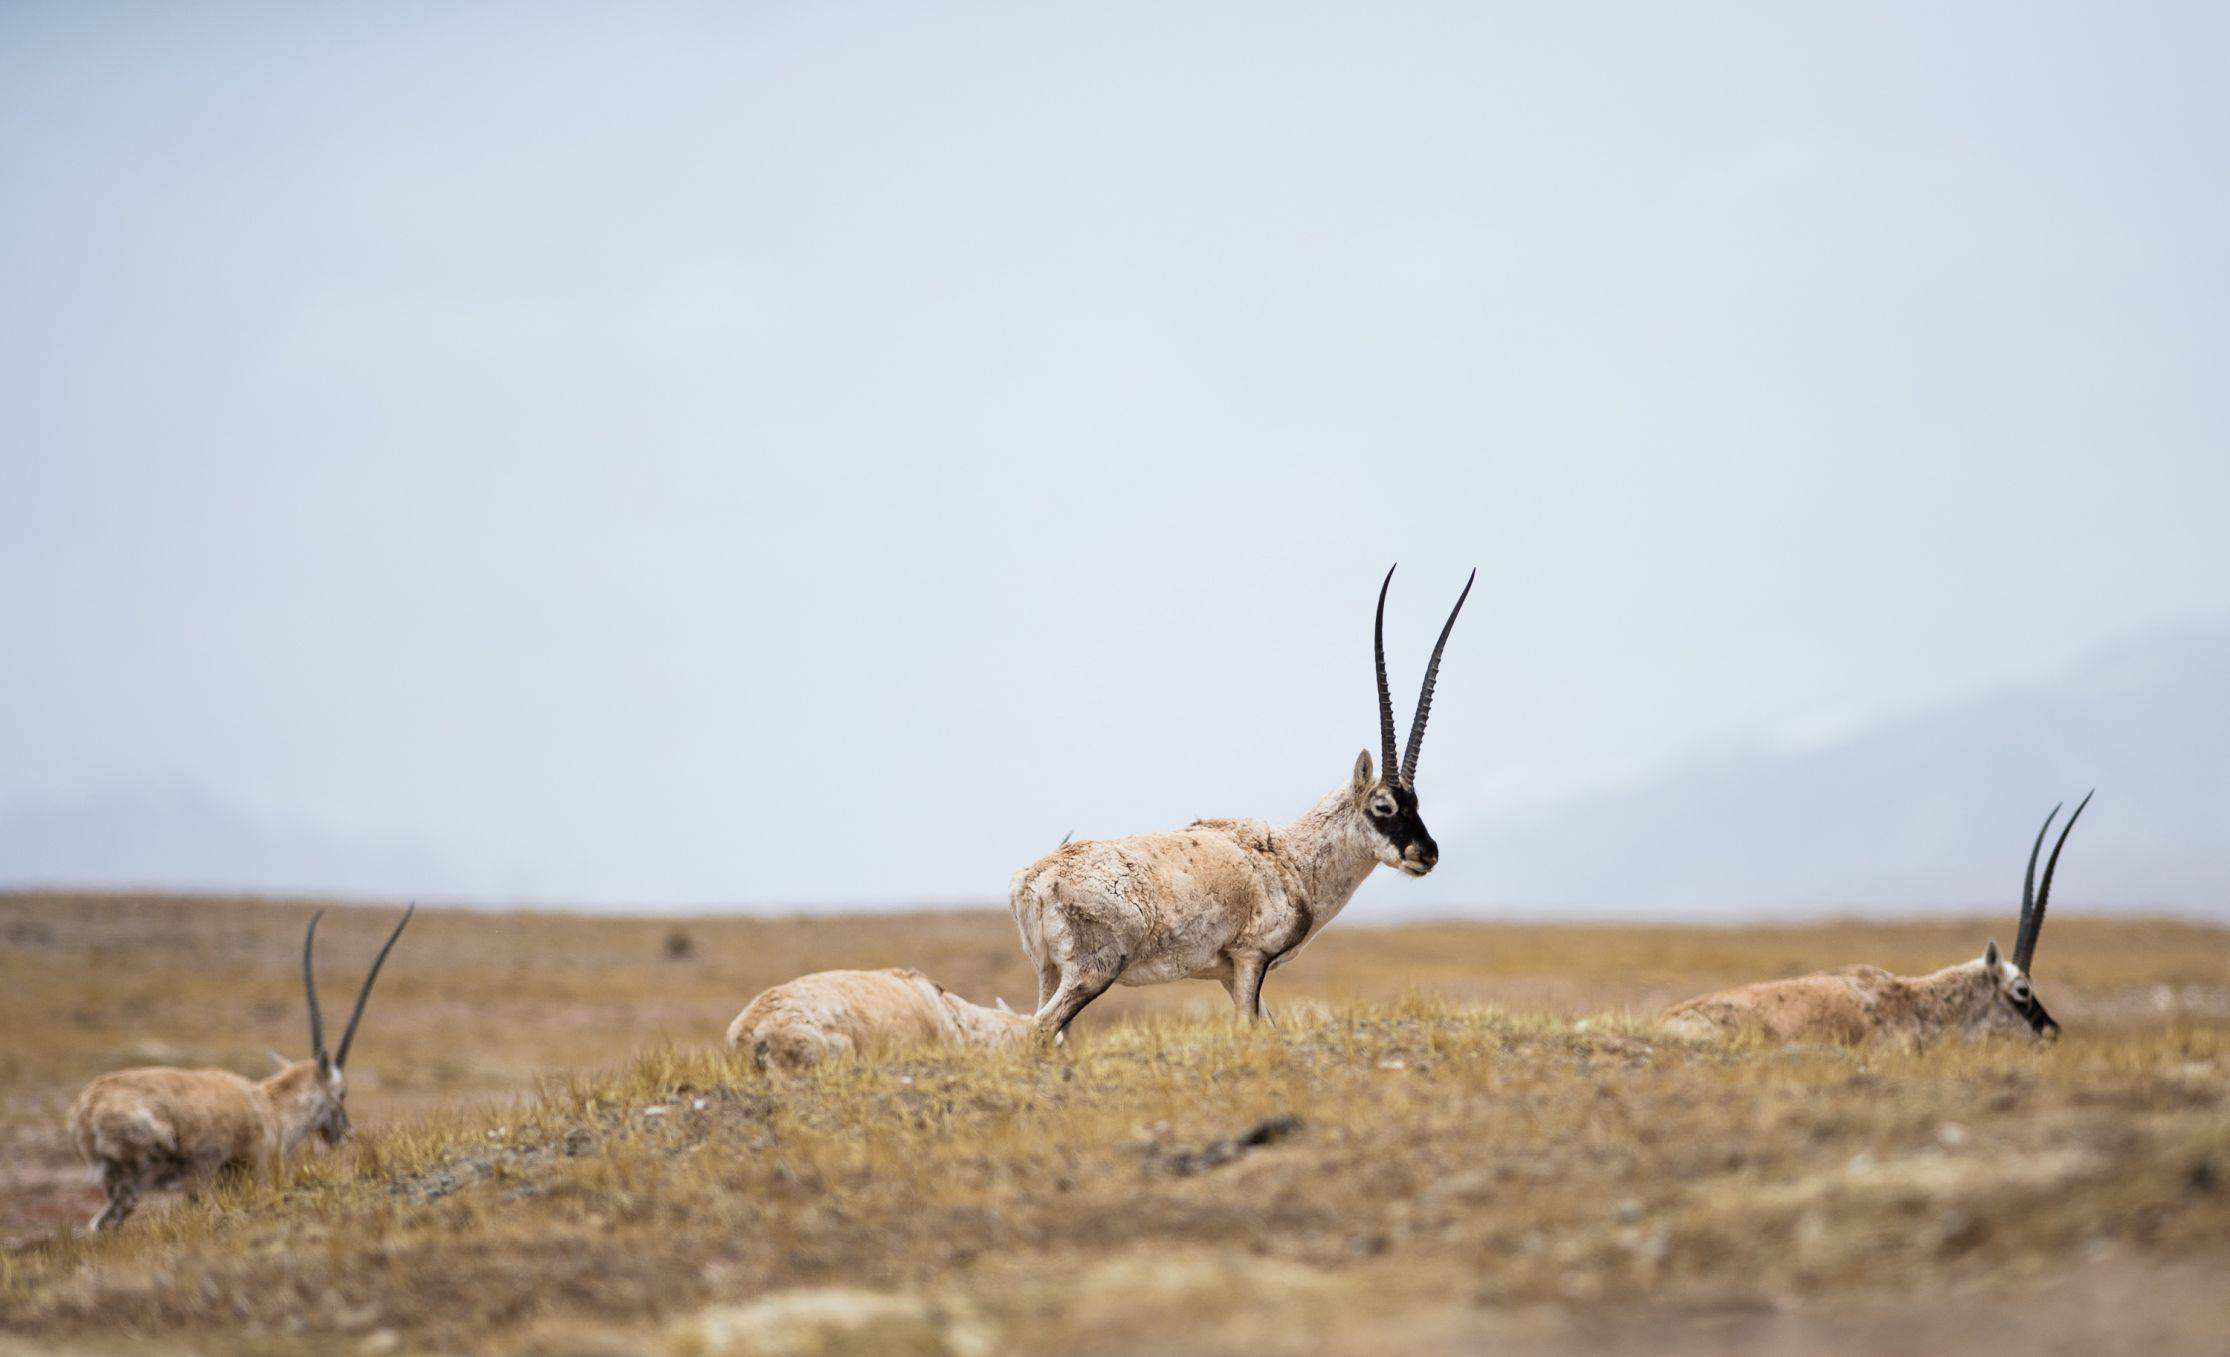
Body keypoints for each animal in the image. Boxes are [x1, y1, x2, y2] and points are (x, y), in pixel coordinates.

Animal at [68, 904, 414, 1229]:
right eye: (342, 1092)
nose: (345, 1133)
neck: (272, 1104)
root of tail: (87, 1108)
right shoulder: (252, 1170)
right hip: (135, 1179)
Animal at [1016, 561, 1480, 1038]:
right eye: (1383, 806)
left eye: (1416, 804)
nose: (1426, 854)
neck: (1292, 860)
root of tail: (1033, 882)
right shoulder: (1250, 958)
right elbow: (1249, 1027)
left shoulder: (1226, 973)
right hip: (1093, 972)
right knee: (1039, 1028)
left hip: (1048, 971)